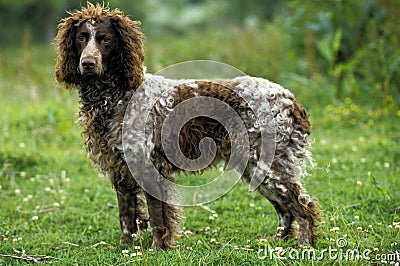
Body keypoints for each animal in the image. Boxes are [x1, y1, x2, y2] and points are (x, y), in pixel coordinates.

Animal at [54, 2, 322, 249]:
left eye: (105, 39)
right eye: (81, 38)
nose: (88, 63)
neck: (116, 96)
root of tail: (290, 100)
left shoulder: (148, 167)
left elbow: (157, 218)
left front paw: (157, 249)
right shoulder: (120, 171)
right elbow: (127, 217)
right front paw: (127, 248)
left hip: (269, 167)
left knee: (303, 207)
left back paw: (303, 245)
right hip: (255, 168)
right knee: (285, 209)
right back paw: (277, 242)